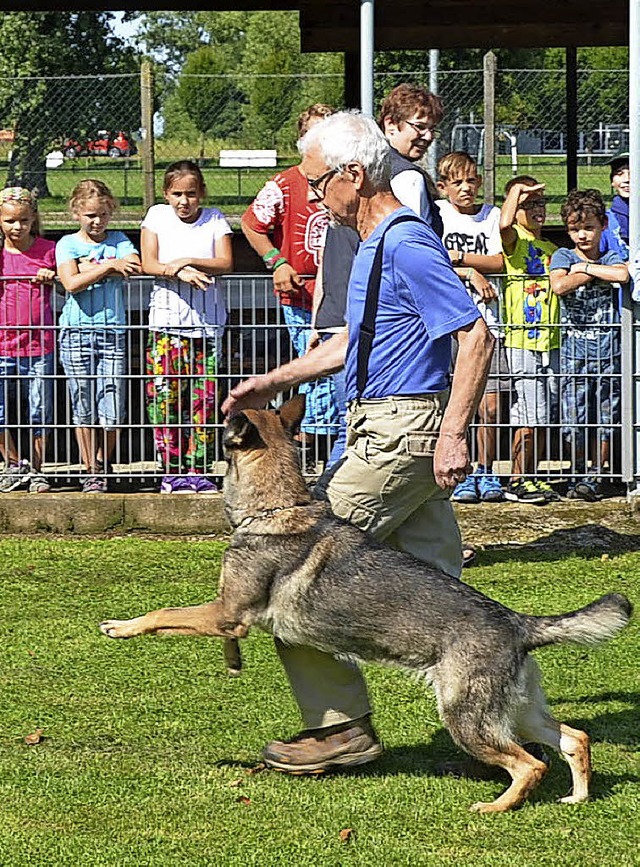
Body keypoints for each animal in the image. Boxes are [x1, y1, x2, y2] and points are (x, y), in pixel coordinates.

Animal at [102, 396, 632, 816]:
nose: (215, 404)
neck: (276, 507)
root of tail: (519, 624)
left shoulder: (223, 612)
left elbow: (163, 614)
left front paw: (120, 626)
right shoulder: (229, 618)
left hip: (466, 717)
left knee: (531, 764)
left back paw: (497, 805)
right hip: (515, 711)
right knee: (574, 738)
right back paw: (577, 796)